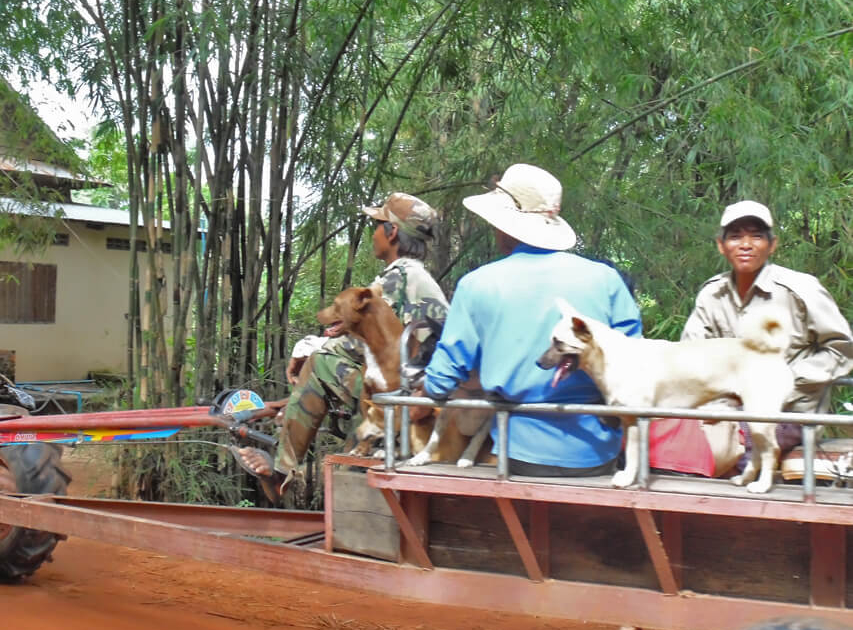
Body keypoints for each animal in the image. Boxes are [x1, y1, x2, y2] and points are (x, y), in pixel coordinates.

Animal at [536, 298, 796, 496]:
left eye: (558, 343)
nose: (538, 362)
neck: (610, 358)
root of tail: (774, 351)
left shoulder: (637, 422)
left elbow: (633, 455)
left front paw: (627, 480)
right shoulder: (629, 421)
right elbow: (632, 455)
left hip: (760, 416)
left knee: (771, 451)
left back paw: (762, 486)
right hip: (755, 418)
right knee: (759, 451)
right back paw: (744, 480)